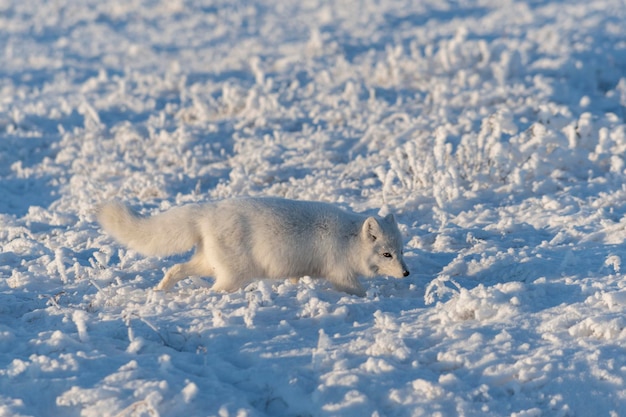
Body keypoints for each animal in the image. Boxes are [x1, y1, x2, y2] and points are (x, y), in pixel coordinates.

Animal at [96, 196, 410, 296]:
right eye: (386, 254)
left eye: (401, 252)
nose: (407, 274)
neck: (346, 238)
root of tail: (207, 211)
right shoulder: (340, 274)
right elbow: (360, 291)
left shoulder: (299, 269)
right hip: (233, 276)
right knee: (212, 289)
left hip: (209, 265)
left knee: (175, 268)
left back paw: (160, 292)